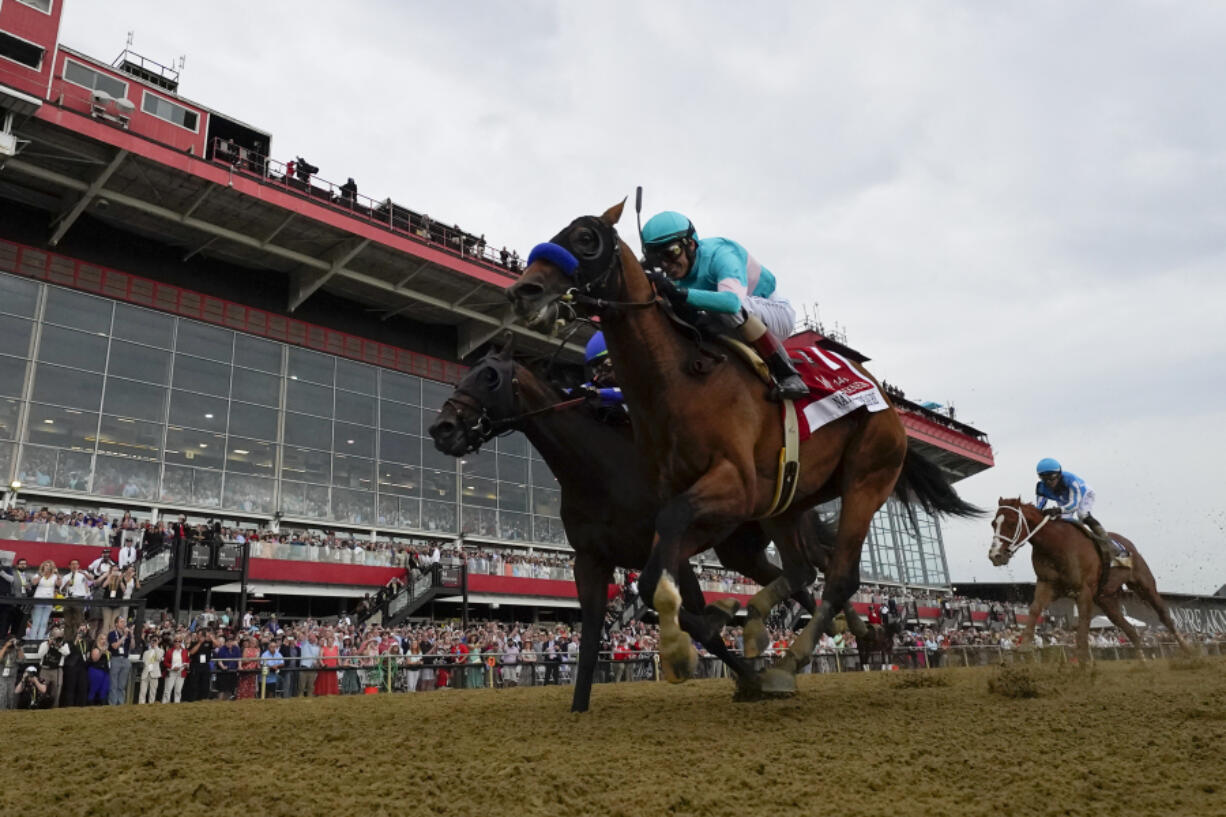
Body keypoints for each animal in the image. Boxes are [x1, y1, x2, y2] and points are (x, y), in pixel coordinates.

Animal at [505, 199, 975, 691]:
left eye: (586, 239)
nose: (523, 290)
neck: (680, 379)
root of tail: (883, 397)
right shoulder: (682, 502)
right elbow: (661, 564)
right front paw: (711, 620)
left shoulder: (732, 487)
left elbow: (662, 559)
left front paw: (681, 643)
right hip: (787, 503)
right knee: (803, 569)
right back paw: (791, 631)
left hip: (867, 479)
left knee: (839, 576)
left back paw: (795, 656)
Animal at [985, 495, 1186, 662]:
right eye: (994, 523)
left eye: (1011, 523)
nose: (995, 555)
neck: (1055, 544)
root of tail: (1128, 544)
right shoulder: (1047, 584)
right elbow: (1034, 609)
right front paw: (1025, 645)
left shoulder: (1084, 591)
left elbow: (1082, 629)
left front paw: (1082, 664)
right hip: (1106, 599)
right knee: (1129, 628)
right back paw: (1143, 663)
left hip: (1144, 584)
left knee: (1164, 616)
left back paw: (1188, 651)